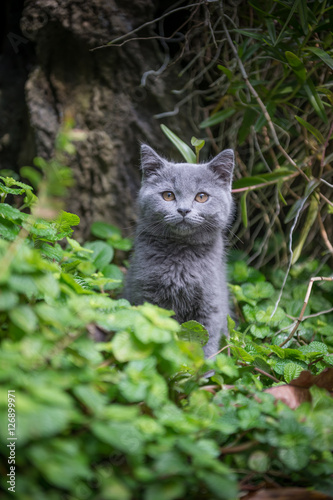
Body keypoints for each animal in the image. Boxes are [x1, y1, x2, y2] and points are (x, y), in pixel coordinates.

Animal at [123, 145, 235, 360]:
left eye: (201, 197)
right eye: (168, 195)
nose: (183, 210)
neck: (181, 260)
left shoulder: (211, 304)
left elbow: (207, 339)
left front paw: (204, 365)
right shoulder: (146, 296)